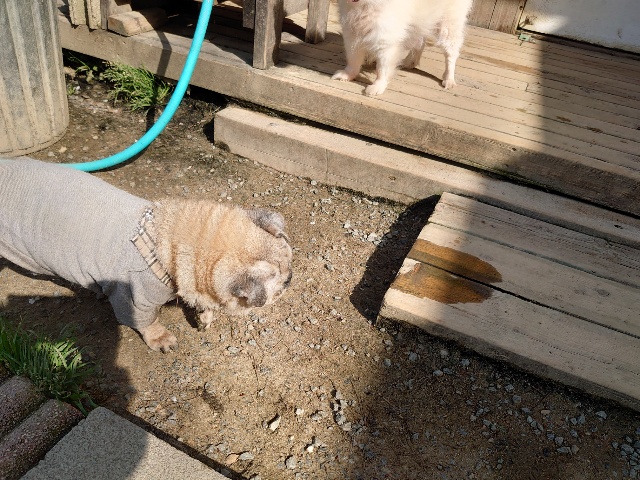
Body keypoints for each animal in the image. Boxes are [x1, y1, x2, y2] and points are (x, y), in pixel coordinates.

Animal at [0, 158, 293, 352]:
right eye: (279, 284)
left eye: (289, 262)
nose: (290, 279)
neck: (164, 243)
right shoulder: (134, 298)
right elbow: (146, 321)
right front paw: (161, 340)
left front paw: (205, 318)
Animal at [332, 0, 473, 96]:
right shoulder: (352, 34)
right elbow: (353, 60)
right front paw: (347, 75)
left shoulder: (386, 40)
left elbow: (382, 68)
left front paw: (377, 86)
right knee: (420, 41)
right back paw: (410, 62)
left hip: (448, 25)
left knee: (451, 54)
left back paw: (449, 79)